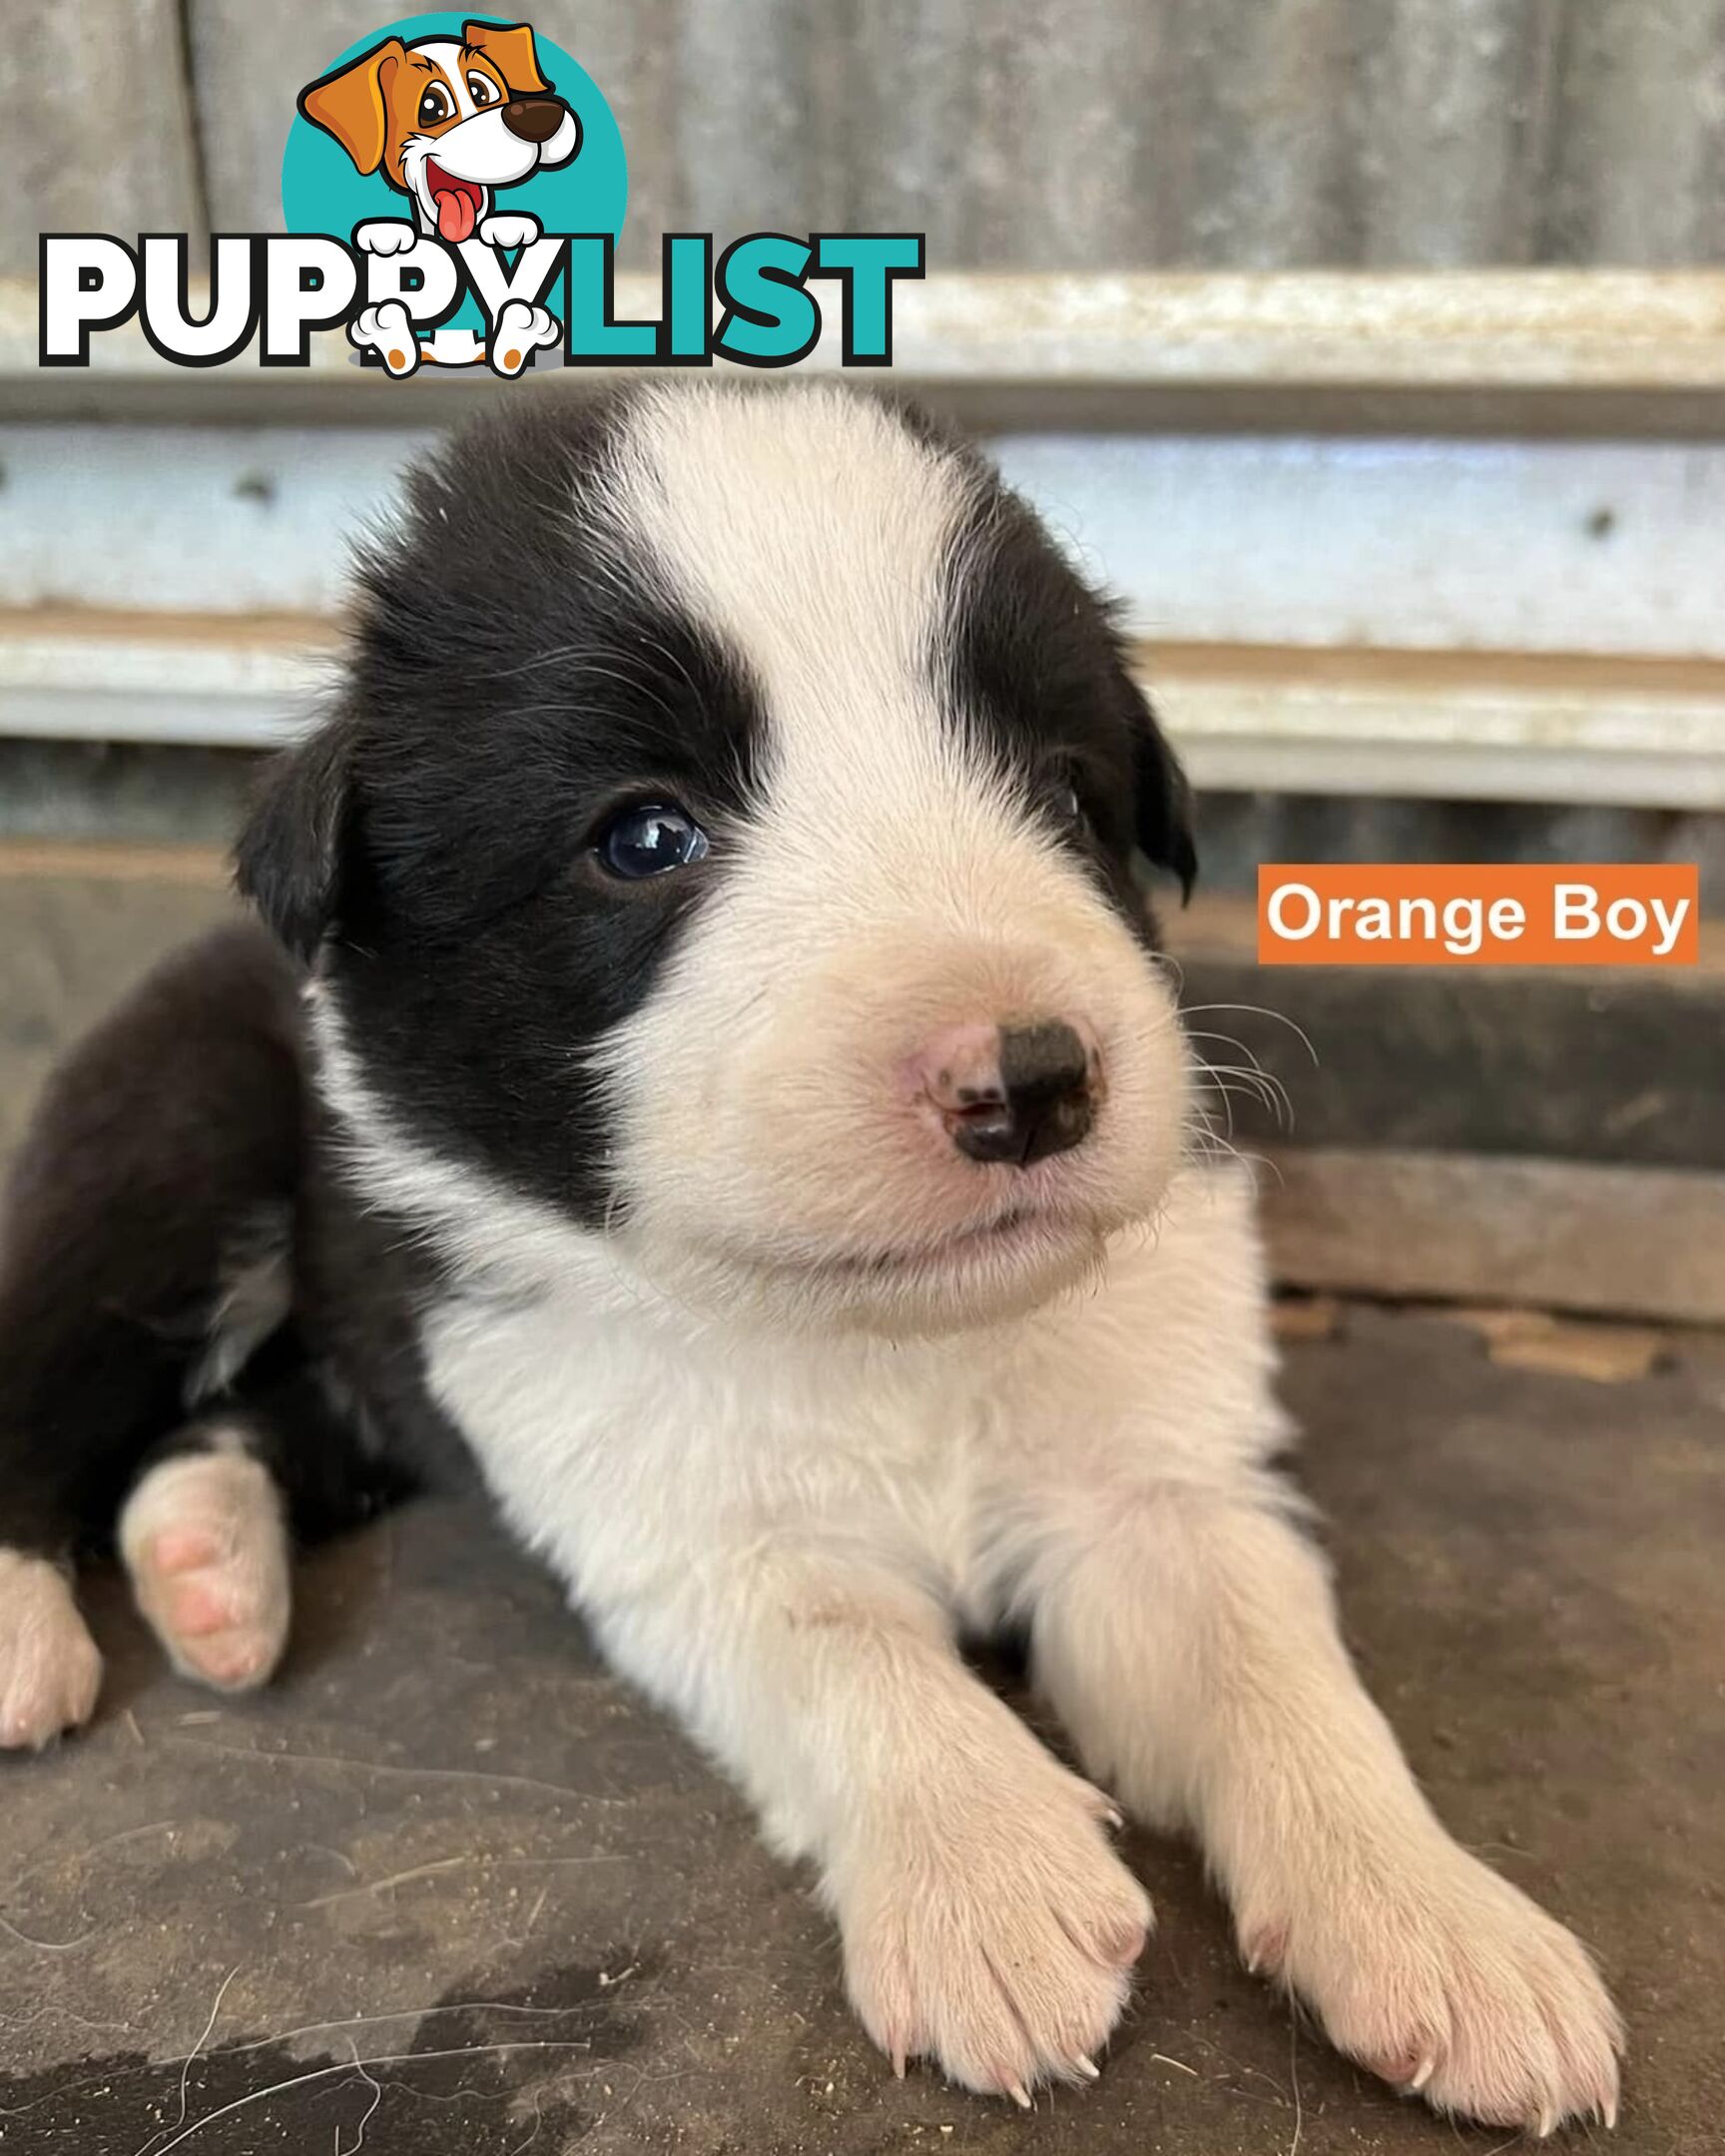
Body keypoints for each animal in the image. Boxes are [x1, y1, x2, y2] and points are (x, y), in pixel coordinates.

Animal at [0, 383, 1621, 2121]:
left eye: (1065, 794)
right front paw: (991, 1891)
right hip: (165, 1147)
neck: (894, 1340)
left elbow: (1278, 1677)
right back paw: (33, 1633)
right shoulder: (674, 1518)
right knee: (56, 1374)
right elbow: (855, 1657)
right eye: (645, 836)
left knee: (237, 1423)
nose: (1032, 1080)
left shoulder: (1156, 1481)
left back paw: (210, 1573)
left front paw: (1443, 1924)